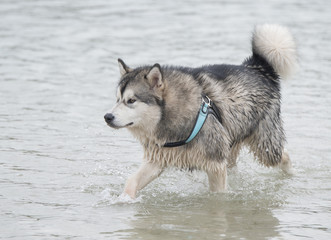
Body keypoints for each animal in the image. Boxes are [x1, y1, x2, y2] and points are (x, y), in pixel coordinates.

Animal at [104, 23, 298, 199]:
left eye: (131, 100)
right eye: (117, 99)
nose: (107, 116)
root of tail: (257, 67)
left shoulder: (215, 164)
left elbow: (218, 194)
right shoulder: (158, 159)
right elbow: (131, 182)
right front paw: (123, 200)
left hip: (264, 145)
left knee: (284, 155)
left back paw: (291, 174)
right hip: (230, 141)